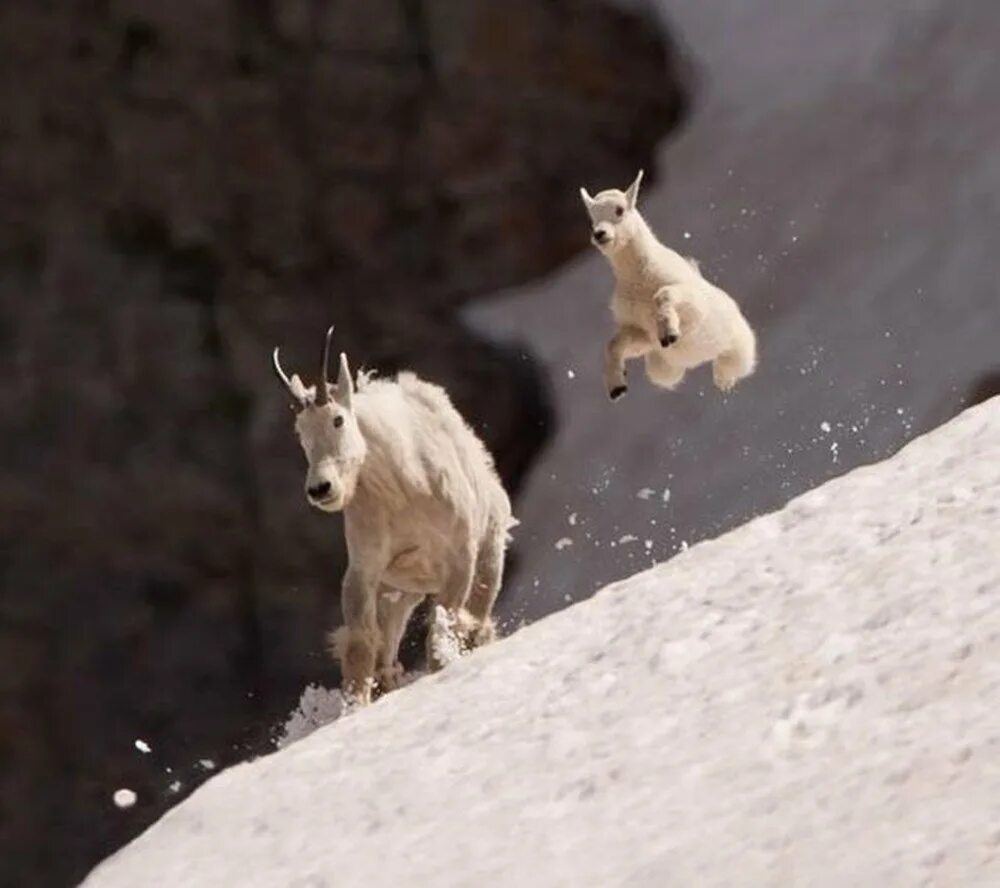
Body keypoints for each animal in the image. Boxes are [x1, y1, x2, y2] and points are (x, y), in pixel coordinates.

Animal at [274, 330, 516, 704]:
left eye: (338, 419)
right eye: (300, 432)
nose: (320, 488)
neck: (402, 489)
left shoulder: (460, 556)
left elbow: (443, 625)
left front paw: (442, 669)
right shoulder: (365, 568)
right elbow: (360, 642)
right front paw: (354, 705)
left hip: (488, 551)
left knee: (478, 615)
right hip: (398, 592)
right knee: (386, 646)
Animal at [580, 170, 756, 398]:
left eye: (620, 210)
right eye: (592, 219)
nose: (599, 234)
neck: (638, 278)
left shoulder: (693, 306)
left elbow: (666, 295)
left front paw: (669, 333)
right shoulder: (642, 333)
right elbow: (615, 344)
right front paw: (617, 387)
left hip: (739, 346)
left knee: (732, 365)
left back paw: (724, 382)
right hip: (661, 369)